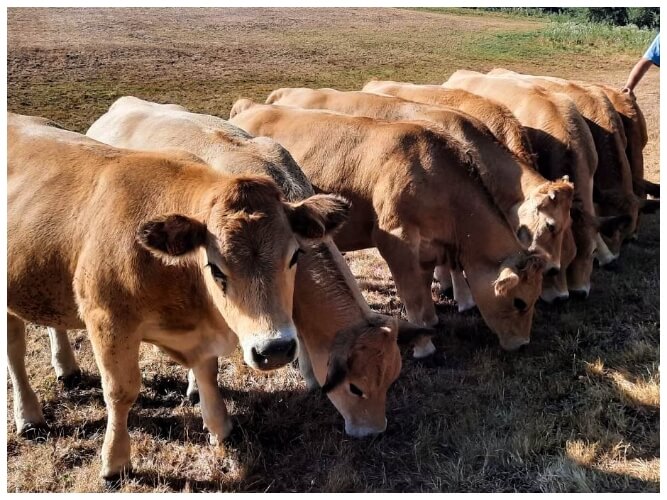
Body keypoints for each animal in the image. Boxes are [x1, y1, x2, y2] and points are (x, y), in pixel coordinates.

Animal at [7, 113, 350, 480]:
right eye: (215, 267)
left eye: (295, 255)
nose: (274, 349)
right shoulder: (107, 320)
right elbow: (120, 391)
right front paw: (115, 461)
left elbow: (207, 373)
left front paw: (220, 428)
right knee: (15, 354)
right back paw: (29, 417)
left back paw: (66, 368)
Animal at [230, 100, 548, 352]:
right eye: (520, 302)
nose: (523, 344)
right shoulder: (396, 241)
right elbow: (413, 296)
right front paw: (423, 345)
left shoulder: (427, 249)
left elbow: (423, 289)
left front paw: (431, 322)